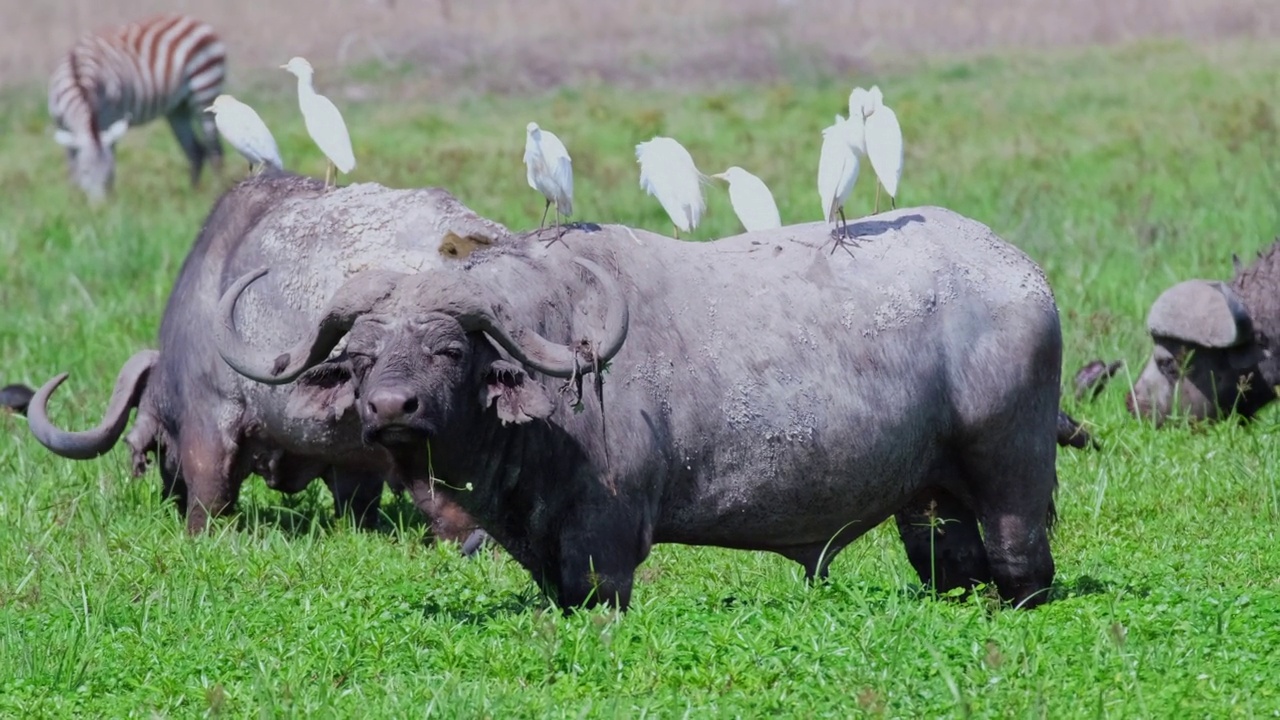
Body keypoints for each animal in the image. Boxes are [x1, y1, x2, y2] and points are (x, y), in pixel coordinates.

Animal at [48, 16, 230, 202]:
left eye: (109, 172)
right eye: (85, 171)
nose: (100, 207)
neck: (77, 78)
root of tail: (194, 21)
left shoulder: (109, 119)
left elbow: (110, 152)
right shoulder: (63, 126)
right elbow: (72, 166)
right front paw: (73, 198)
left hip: (205, 88)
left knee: (215, 150)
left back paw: (216, 191)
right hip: (178, 109)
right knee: (195, 151)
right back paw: (192, 194)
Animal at [217, 204, 1059, 607]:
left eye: (450, 350)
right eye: (361, 357)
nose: (392, 408)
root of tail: (1024, 275)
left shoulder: (606, 543)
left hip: (1011, 472)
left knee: (1022, 560)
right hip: (931, 496)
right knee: (950, 561)